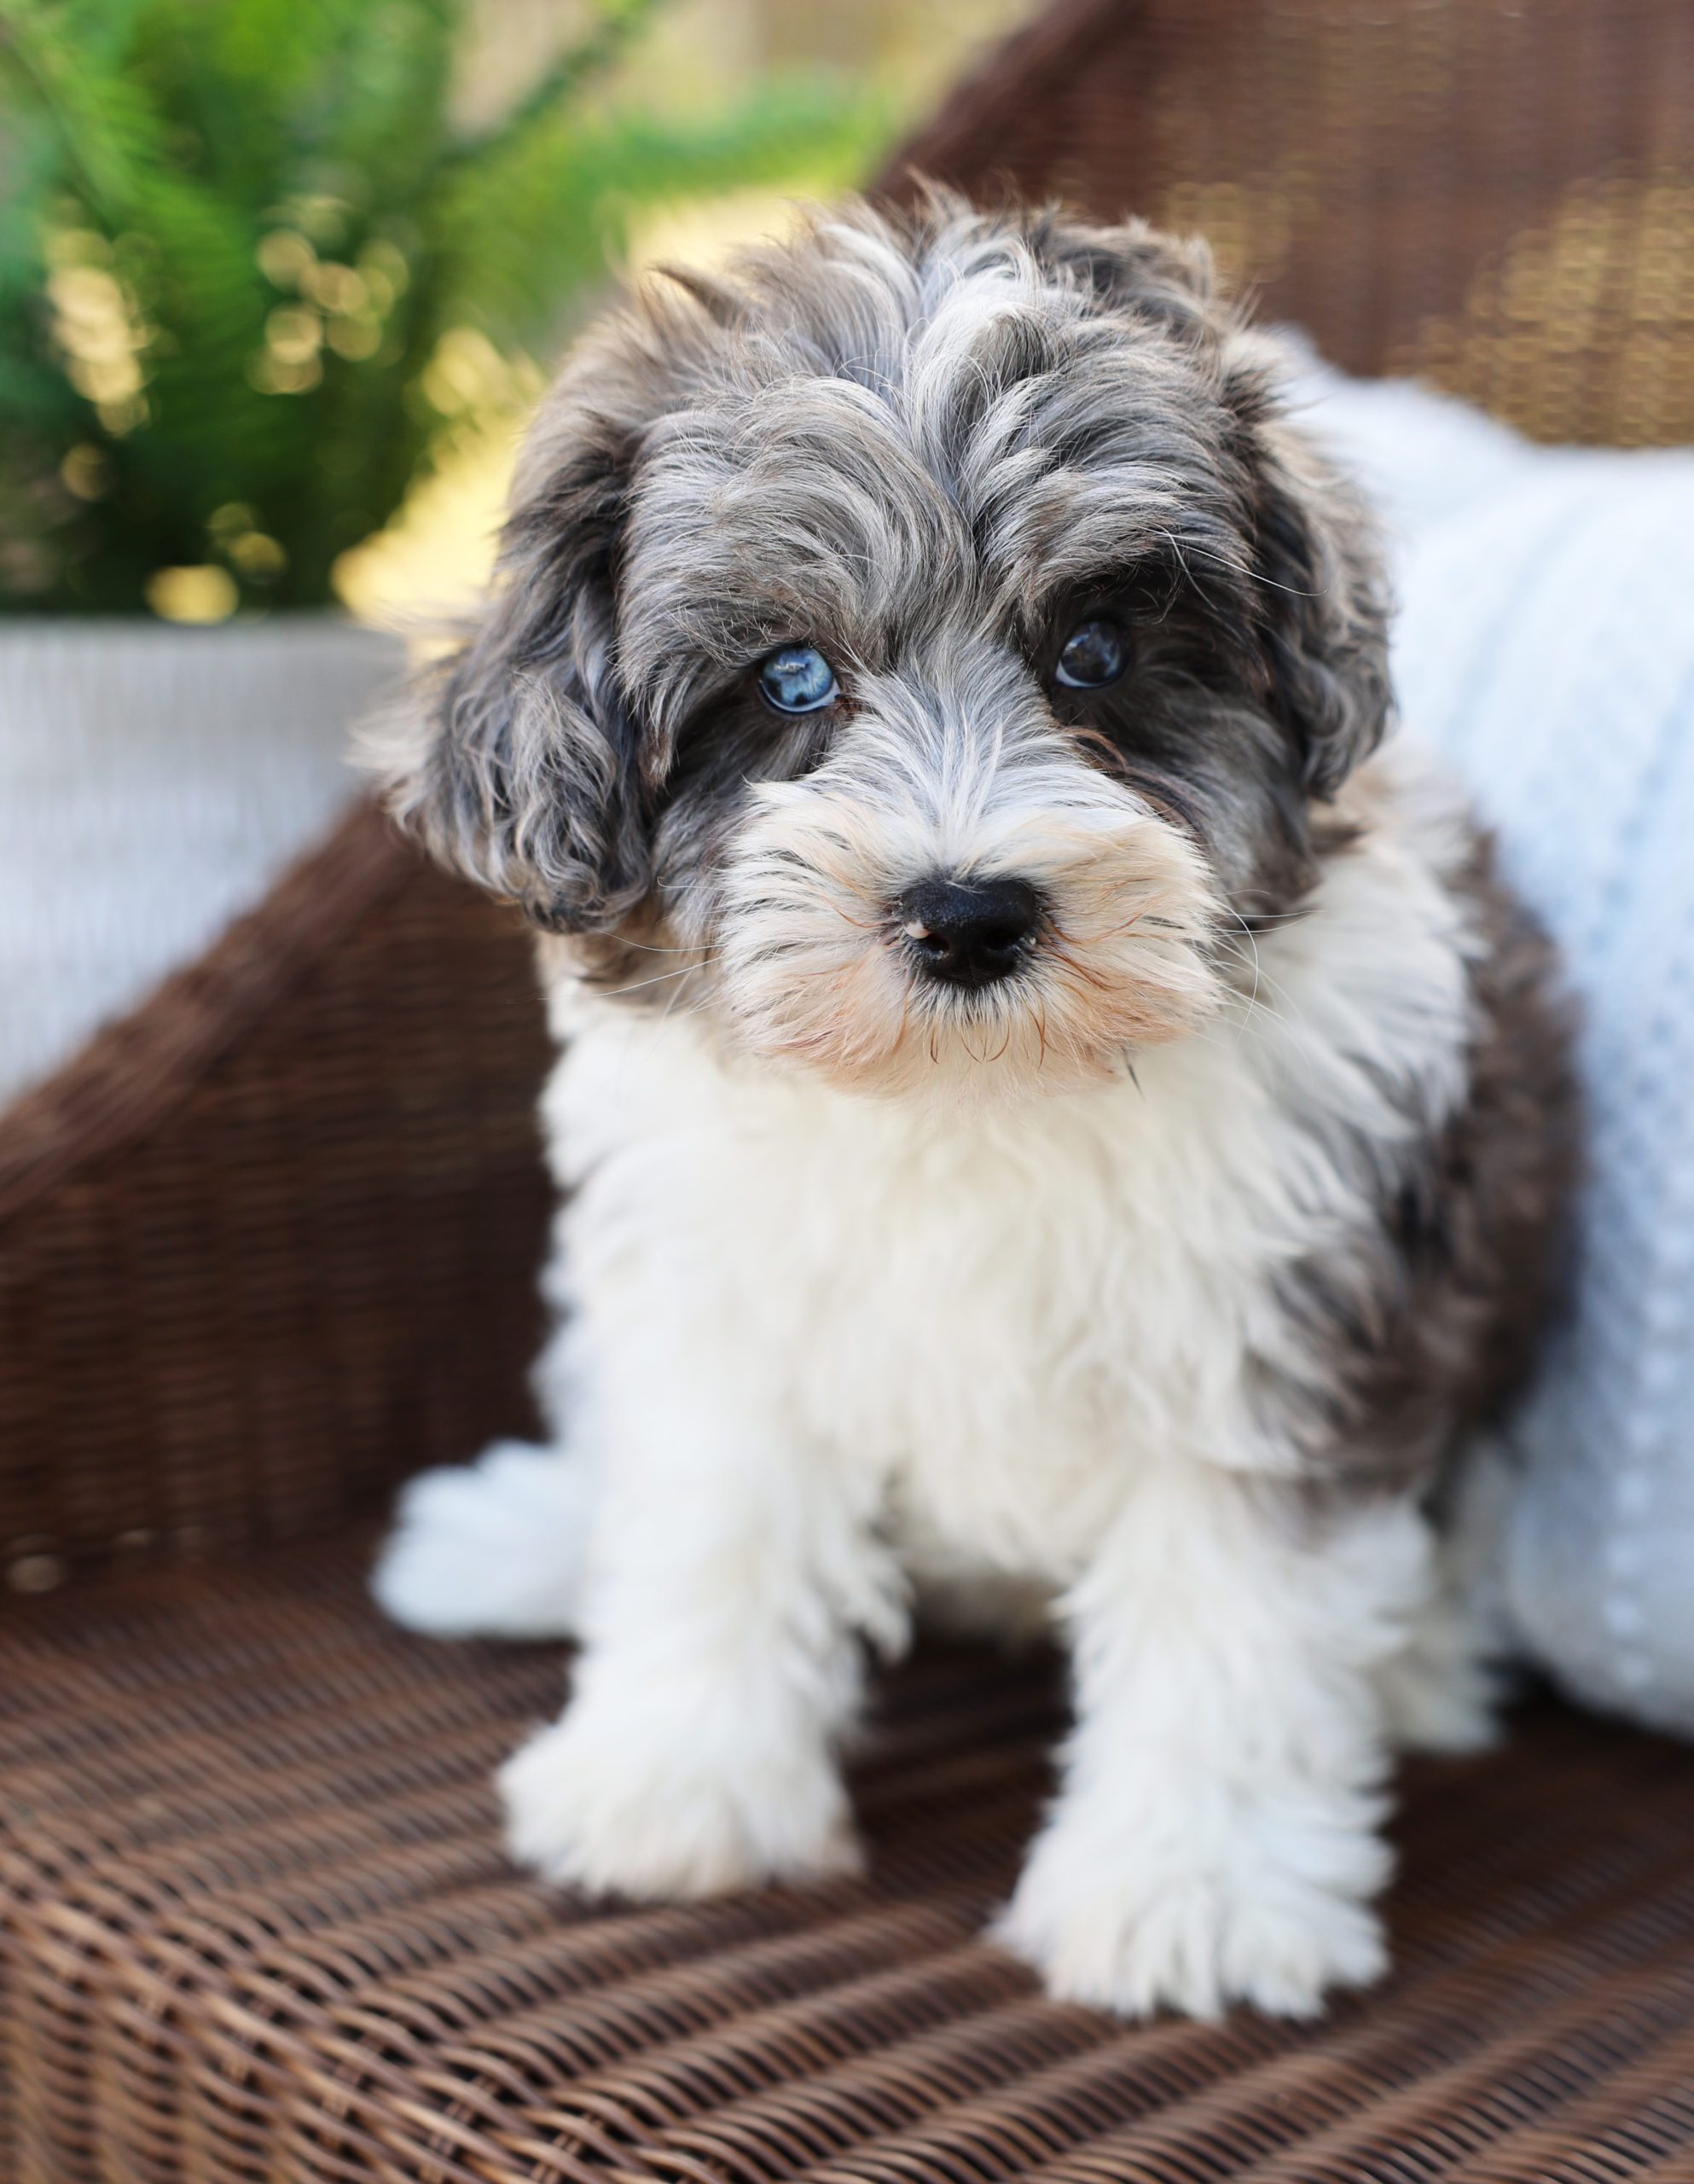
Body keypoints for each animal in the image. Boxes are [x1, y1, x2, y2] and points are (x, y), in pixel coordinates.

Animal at [371, 196, 1571, 2018]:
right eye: (792, 679)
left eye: (1096, 652)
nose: (967, 914)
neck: (974, 1093)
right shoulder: (723, 1295)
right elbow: (713, 1523)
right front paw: (677, 1780)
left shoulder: (1288, 1320)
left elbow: (1236, 1614)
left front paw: (1192, 1889)